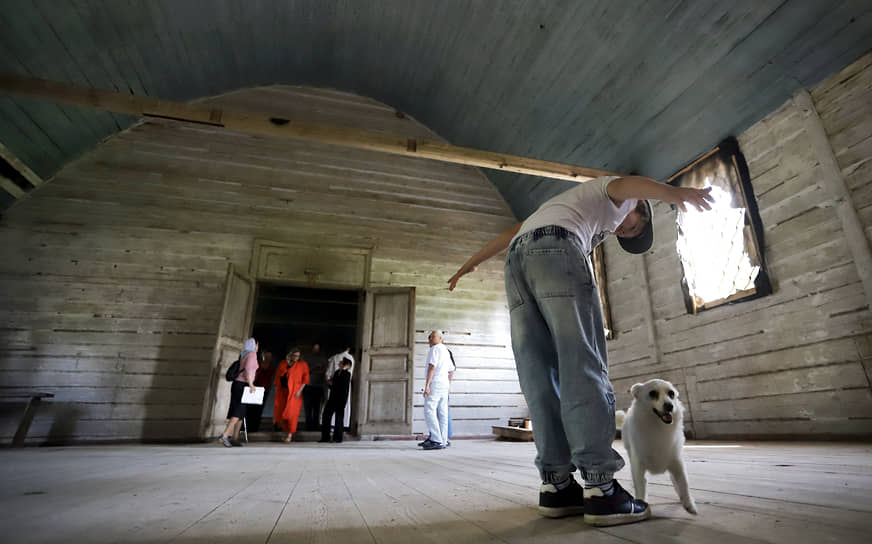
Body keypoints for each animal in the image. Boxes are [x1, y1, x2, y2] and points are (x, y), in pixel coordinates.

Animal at [616, 378, 700, 516]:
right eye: (653, 393)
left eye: (671, 394)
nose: (670, 406)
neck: (658, 428)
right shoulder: (638, 467)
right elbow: (640, 487)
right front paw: (640, 505)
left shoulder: (677, 462)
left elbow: (684, 484)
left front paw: (689, 504)